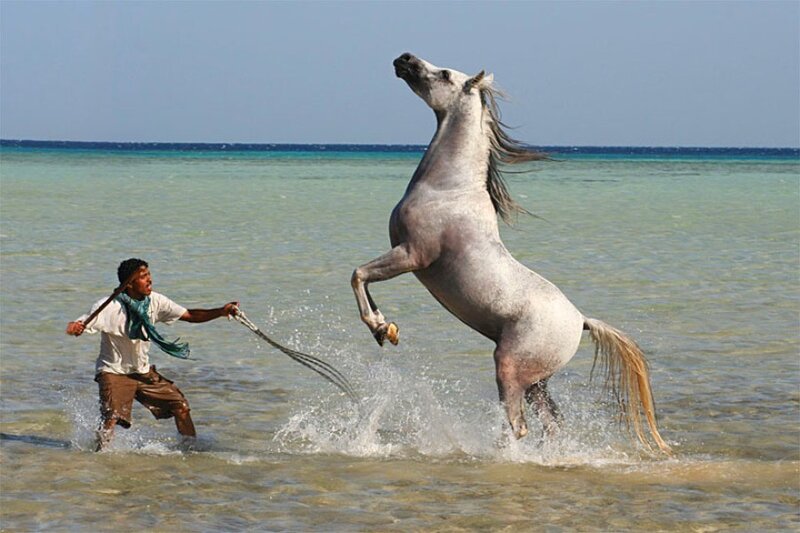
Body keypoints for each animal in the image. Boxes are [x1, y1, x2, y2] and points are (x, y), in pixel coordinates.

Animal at [351, 53, 671, 454]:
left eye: (444, 74)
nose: (404, 58)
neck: (447, 189)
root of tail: (580, 320)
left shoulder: (412, 255)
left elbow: (358, 274)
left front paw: (380, 326)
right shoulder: (404, 255)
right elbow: (364, 278)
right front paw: (386, 330)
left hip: (510, 368)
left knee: (518, 427)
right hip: (537, 382)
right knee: (551, 426)